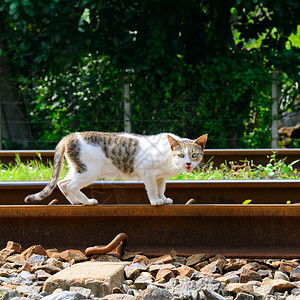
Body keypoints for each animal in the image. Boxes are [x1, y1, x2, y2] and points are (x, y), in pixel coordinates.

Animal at [24, 132, 207, 206]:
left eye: (194, 155)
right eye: (181, 155)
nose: (188, 164)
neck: (170, 161)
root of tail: (69, 136)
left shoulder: (161, 176)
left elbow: (161, 188)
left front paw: (164, 198)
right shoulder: (147, 171)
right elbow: (152, 189)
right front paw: (156, 201)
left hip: (78, 169)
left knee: (62, 183)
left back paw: (76, 202)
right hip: (90, 171)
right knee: (71, 185)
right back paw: (87, 202)